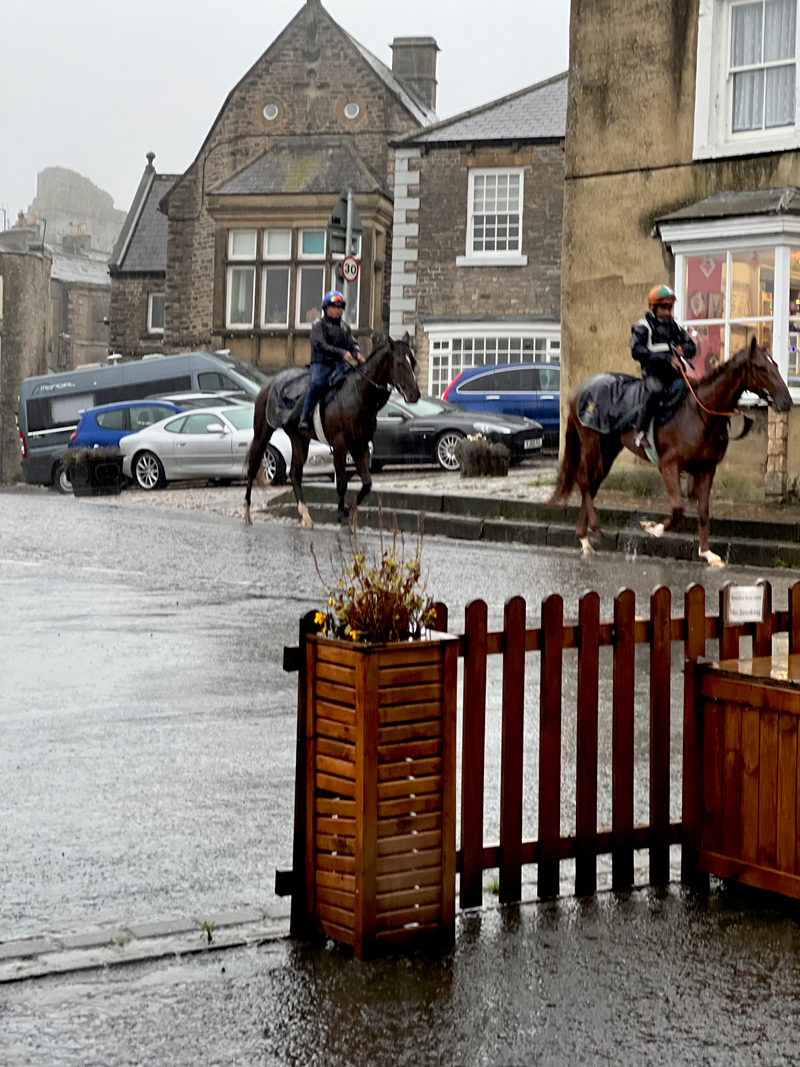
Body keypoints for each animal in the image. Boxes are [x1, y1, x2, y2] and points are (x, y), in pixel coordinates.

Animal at [243, 335, 420, 527]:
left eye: (413, 362)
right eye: (400, 363)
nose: (415, 394)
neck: (357, 394)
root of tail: (269, 383)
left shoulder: (360, 445)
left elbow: (367, 484)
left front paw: (349, 511)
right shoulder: (340, 445)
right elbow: (342, 482)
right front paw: (341, 514)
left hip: (299, 439)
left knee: (295, 474)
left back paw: (305, 515)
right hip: (262, 433)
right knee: (253, 467)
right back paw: (246, 512)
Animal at [550, 339, 793, 567]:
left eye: (775, 365)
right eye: (761, 368)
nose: (787, 401)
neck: (700, 413)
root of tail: (578, 391)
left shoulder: (706, 469)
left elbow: (703, 511)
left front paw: (707, 553)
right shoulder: (669, 465)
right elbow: (678, 509)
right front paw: (652, 528)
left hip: (608, 451)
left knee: (591, 484)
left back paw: (584, 539)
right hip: (592, 444)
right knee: (583, 481)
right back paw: (594, 531)